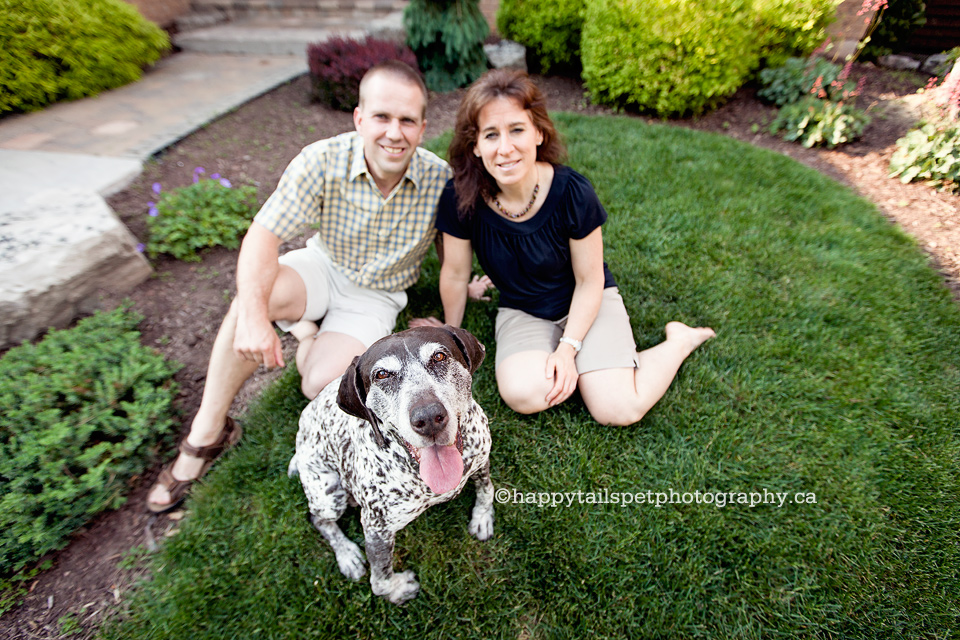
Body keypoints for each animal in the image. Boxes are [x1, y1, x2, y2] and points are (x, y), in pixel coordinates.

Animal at [284, 328, 496, 604]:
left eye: (439, 356)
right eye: (382, 374)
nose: (428, 418)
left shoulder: (481, 458)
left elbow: (487, 489)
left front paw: (482, 517)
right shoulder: (376, 529)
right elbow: (380, 581)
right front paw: (397, 590)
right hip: (328, 495)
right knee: (318, 519)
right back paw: (347, 555)